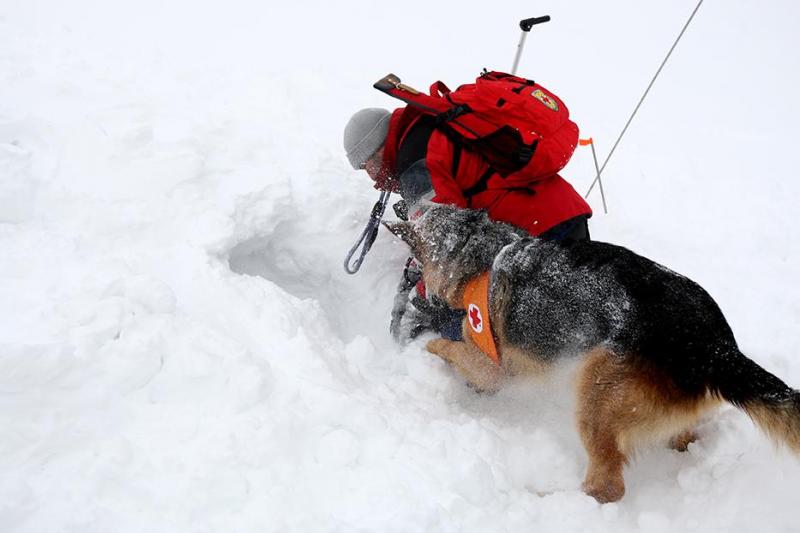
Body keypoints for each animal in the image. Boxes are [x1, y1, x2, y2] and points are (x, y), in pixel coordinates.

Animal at [384, 205, 796, 502]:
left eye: (420, 210)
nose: (401, 204)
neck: (481, 252)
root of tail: (715, 346)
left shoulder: (490, 364)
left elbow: (449, 348)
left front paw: (427, 348)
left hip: (596, 393)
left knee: (606, 488)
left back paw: (553, 499)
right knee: (681, 440)